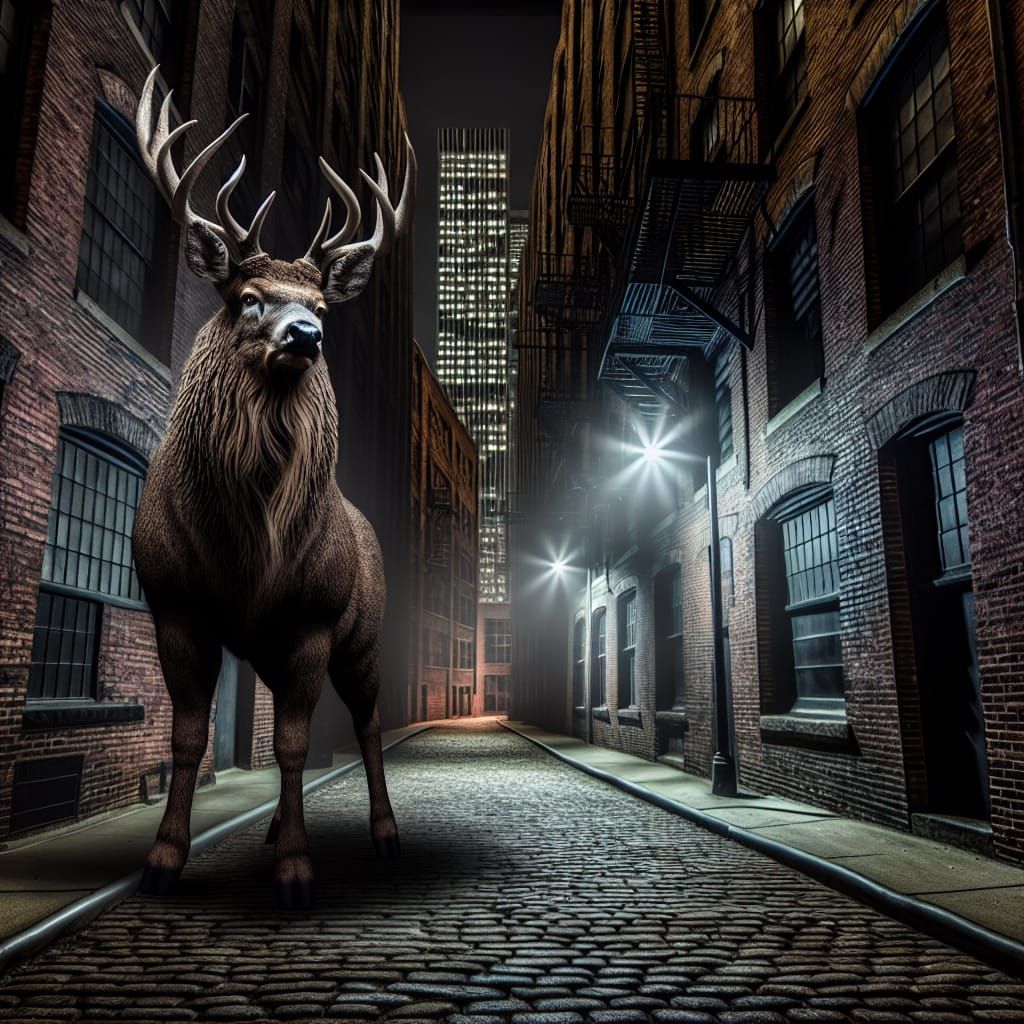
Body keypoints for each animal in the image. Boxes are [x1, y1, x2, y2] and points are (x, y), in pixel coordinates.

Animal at [130, 66, 414, 910]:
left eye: (320, 307)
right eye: (248, 297)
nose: (306, 335)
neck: (247, 542)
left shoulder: (313, 619)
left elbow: (292, 744)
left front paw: (295, 869)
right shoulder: (175, 604)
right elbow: (189, 736)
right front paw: (164, 858)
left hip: (363, 634)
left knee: (367, 722)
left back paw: (385, 834)